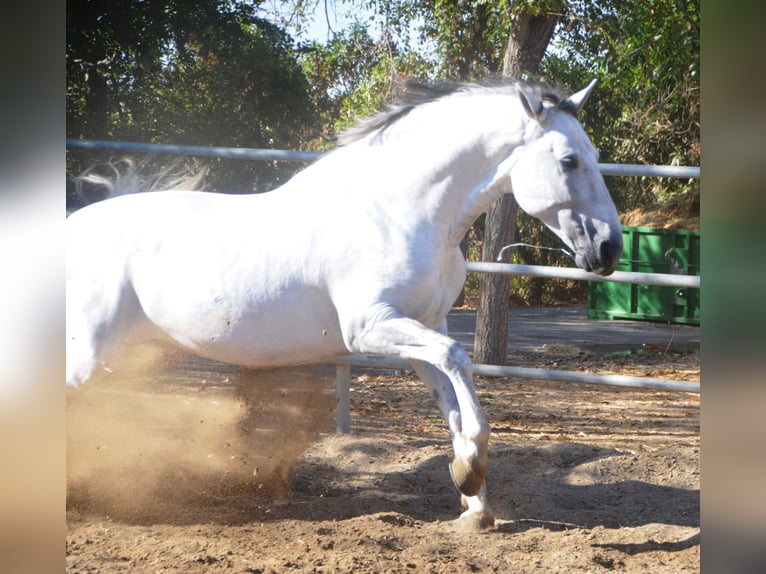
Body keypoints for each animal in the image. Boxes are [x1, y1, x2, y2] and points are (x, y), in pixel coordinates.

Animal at [66, 79, 624, 528]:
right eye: (569, 160)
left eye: (593, 154)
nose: (610, 249)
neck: (397, 212)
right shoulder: (369, 328)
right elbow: (458, 361)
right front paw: (470, 474)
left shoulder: (425, 324)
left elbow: (450, 393)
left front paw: (474, 503)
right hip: (88, 356)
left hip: (135, 355)